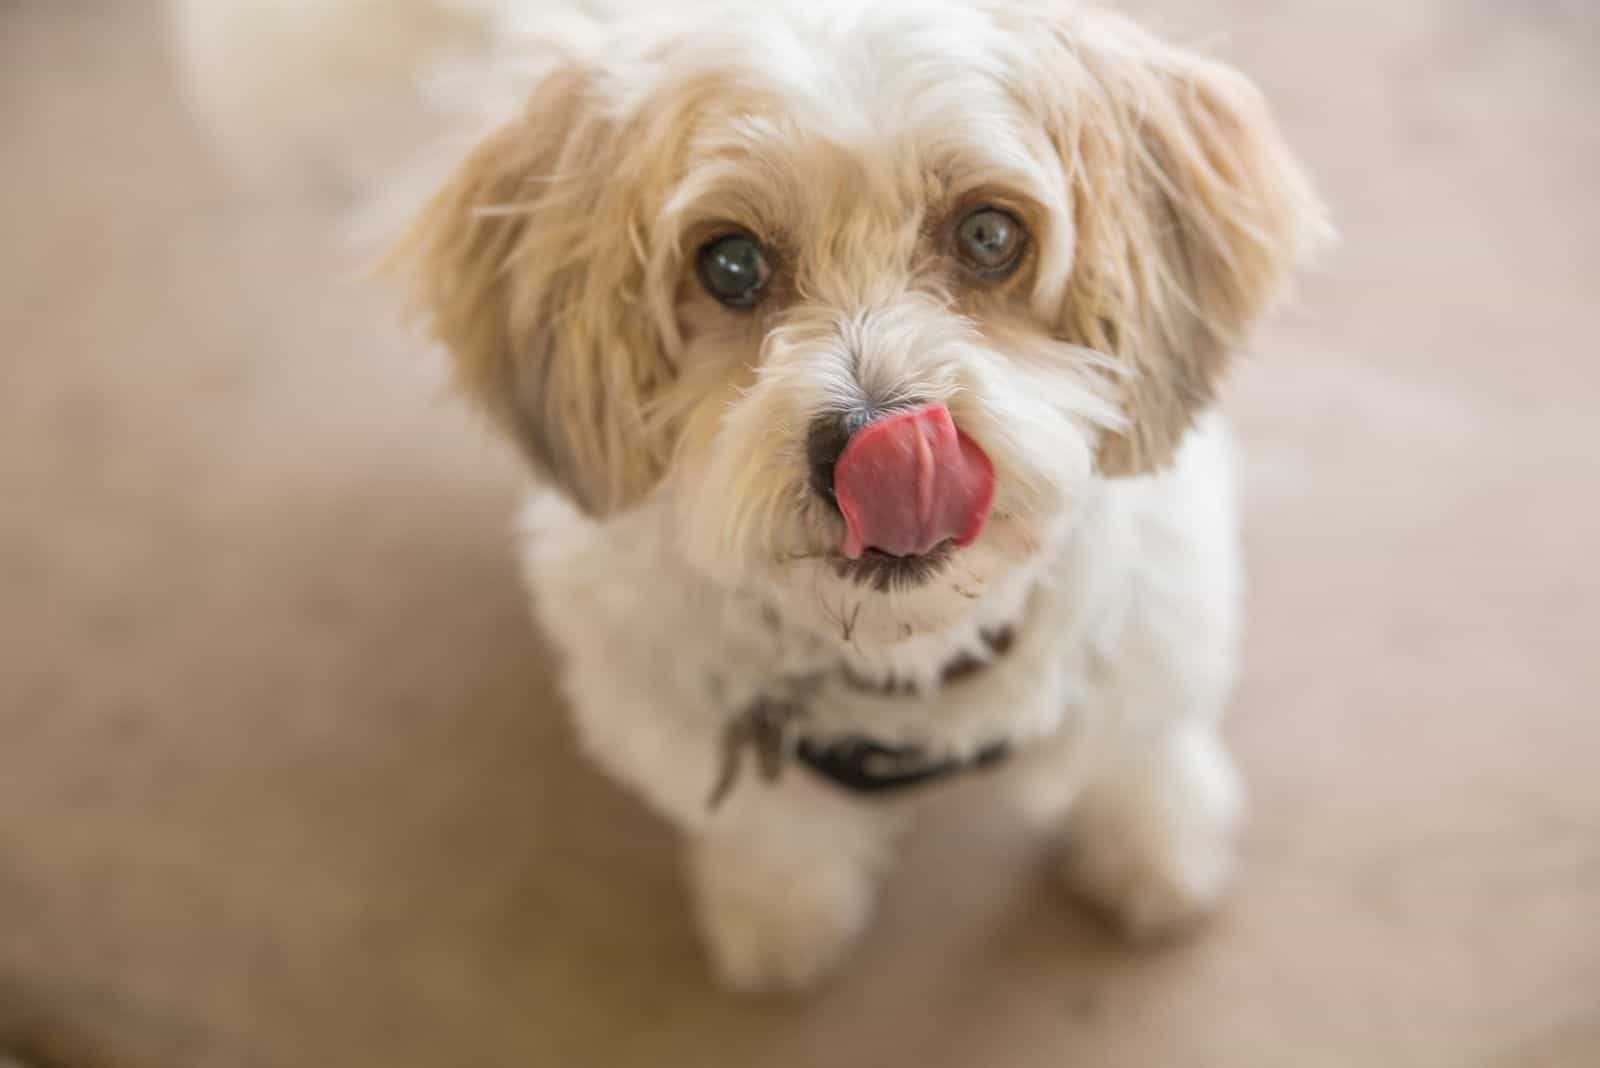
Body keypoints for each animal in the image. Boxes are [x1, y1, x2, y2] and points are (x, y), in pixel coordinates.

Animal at [178, 0, 1324, 991]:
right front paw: (778, 922)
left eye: (990, 236)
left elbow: (1136, 753)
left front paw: (1162, 853)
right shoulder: (677, 723)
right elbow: (771, 834)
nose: (874, 442)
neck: (904, 669)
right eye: (728, 264)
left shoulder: (1154, 630)